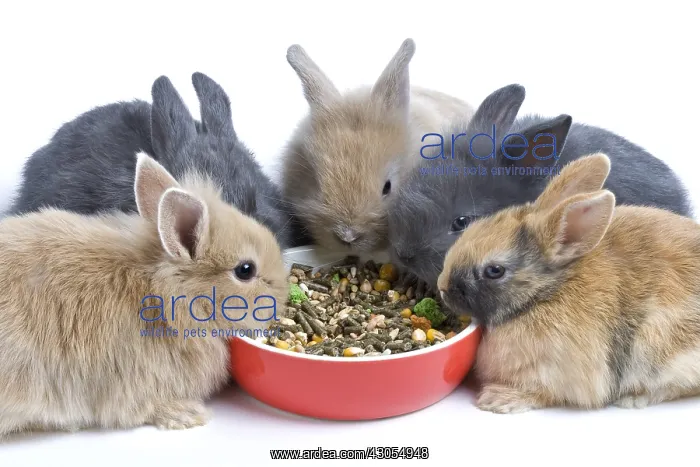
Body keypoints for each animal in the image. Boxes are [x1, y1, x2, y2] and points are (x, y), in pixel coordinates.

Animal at [438, 152, 700, 413]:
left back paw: (634, 398)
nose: (442, 287)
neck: (546, 292)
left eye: (494, 271)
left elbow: (541, 393)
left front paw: (498, 400)